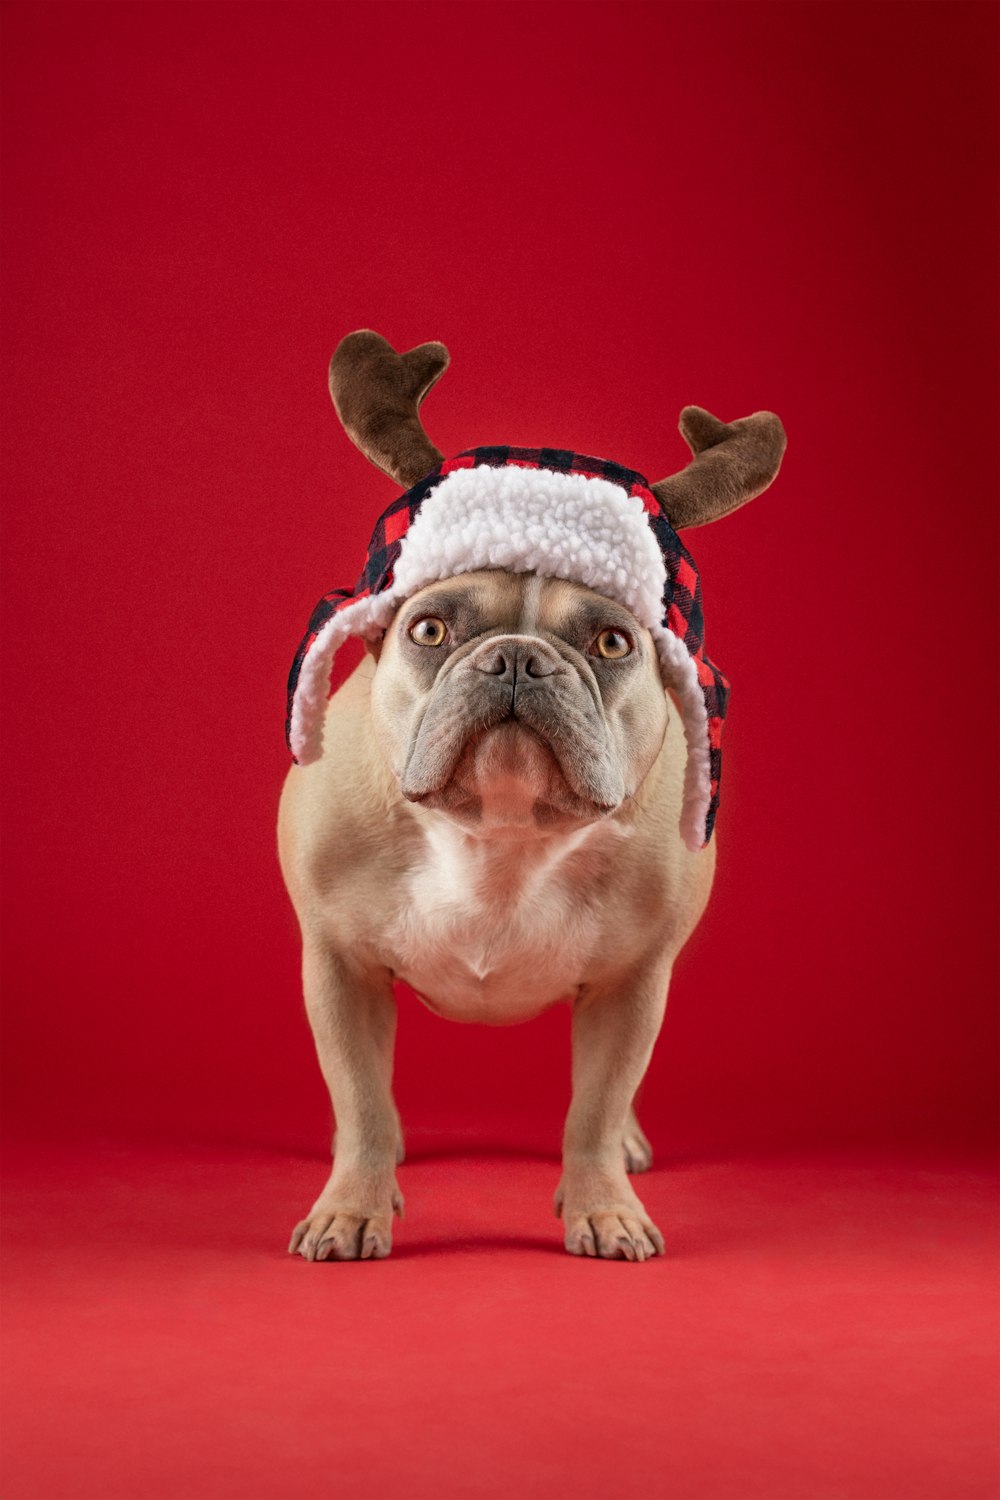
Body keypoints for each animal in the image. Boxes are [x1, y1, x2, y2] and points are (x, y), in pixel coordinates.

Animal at [277, 334, 785, 1260]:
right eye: (430, 629)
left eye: (613, 642)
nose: (516, 658)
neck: (500, 834)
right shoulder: (339, 965)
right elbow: (360, 1098)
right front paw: (352, 1207)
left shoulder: (632, 985)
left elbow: (596, 1108)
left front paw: (605, 1207)